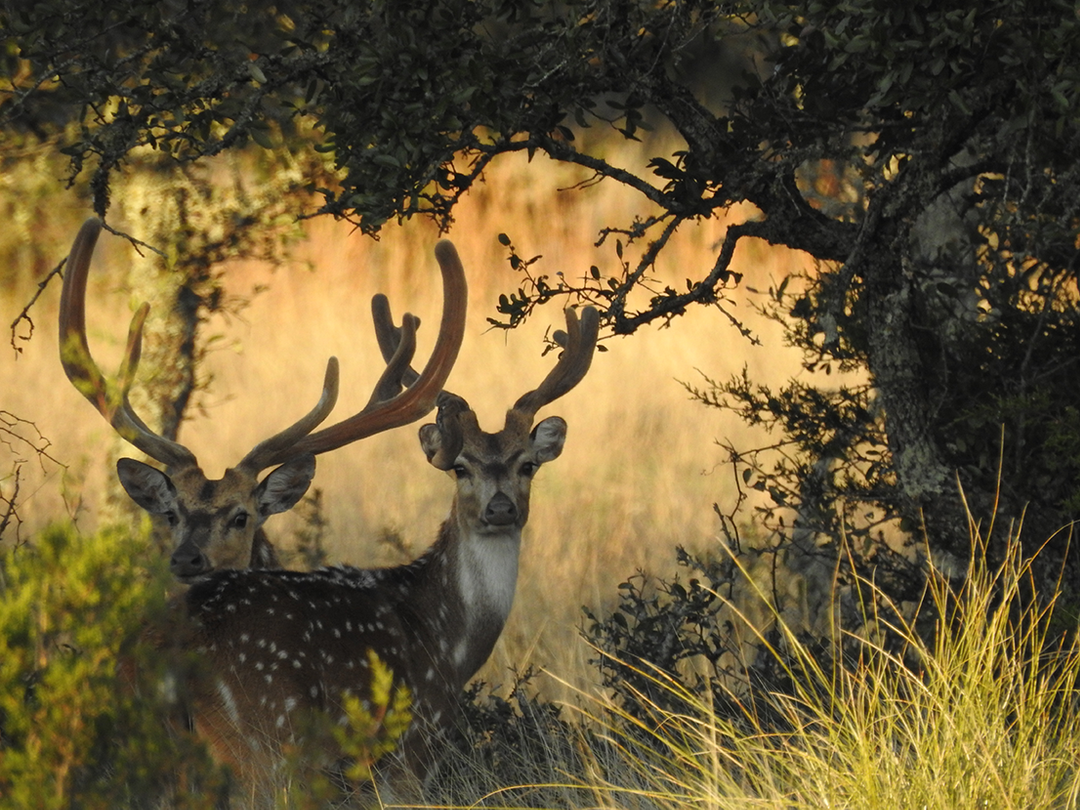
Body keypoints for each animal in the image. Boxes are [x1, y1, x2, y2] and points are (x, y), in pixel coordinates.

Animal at [171, 300, 599, 793]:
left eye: (528, 465)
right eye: (460, 467)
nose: (500, 508)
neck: (450, 643)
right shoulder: (413, 748)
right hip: (271, 742)